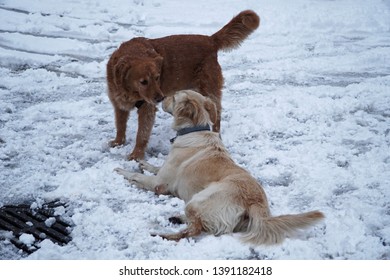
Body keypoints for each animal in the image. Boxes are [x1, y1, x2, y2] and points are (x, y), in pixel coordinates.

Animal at [106, 10, 258, 160]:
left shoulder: (147, 107)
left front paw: (136, 155)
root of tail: (210, 40)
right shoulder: (118, 104)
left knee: (216, 116)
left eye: (157, 78)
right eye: (143, 82)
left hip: (209, 90)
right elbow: (120, 125)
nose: (160, 98)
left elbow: (142, 133)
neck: (128, 90)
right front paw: (118, 142)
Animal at [114, 90, 324, 245]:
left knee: (194, 230)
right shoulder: (162, 172)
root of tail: (256, 203)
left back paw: (163, 234)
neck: (195, 130)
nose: (160, 98)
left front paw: (121, 171)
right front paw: (142, 162)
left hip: (198, 199)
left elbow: (137, 177)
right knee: (201, 224)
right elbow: (153, 166)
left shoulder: (159, 184)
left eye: (173, 97)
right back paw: (176, 218)